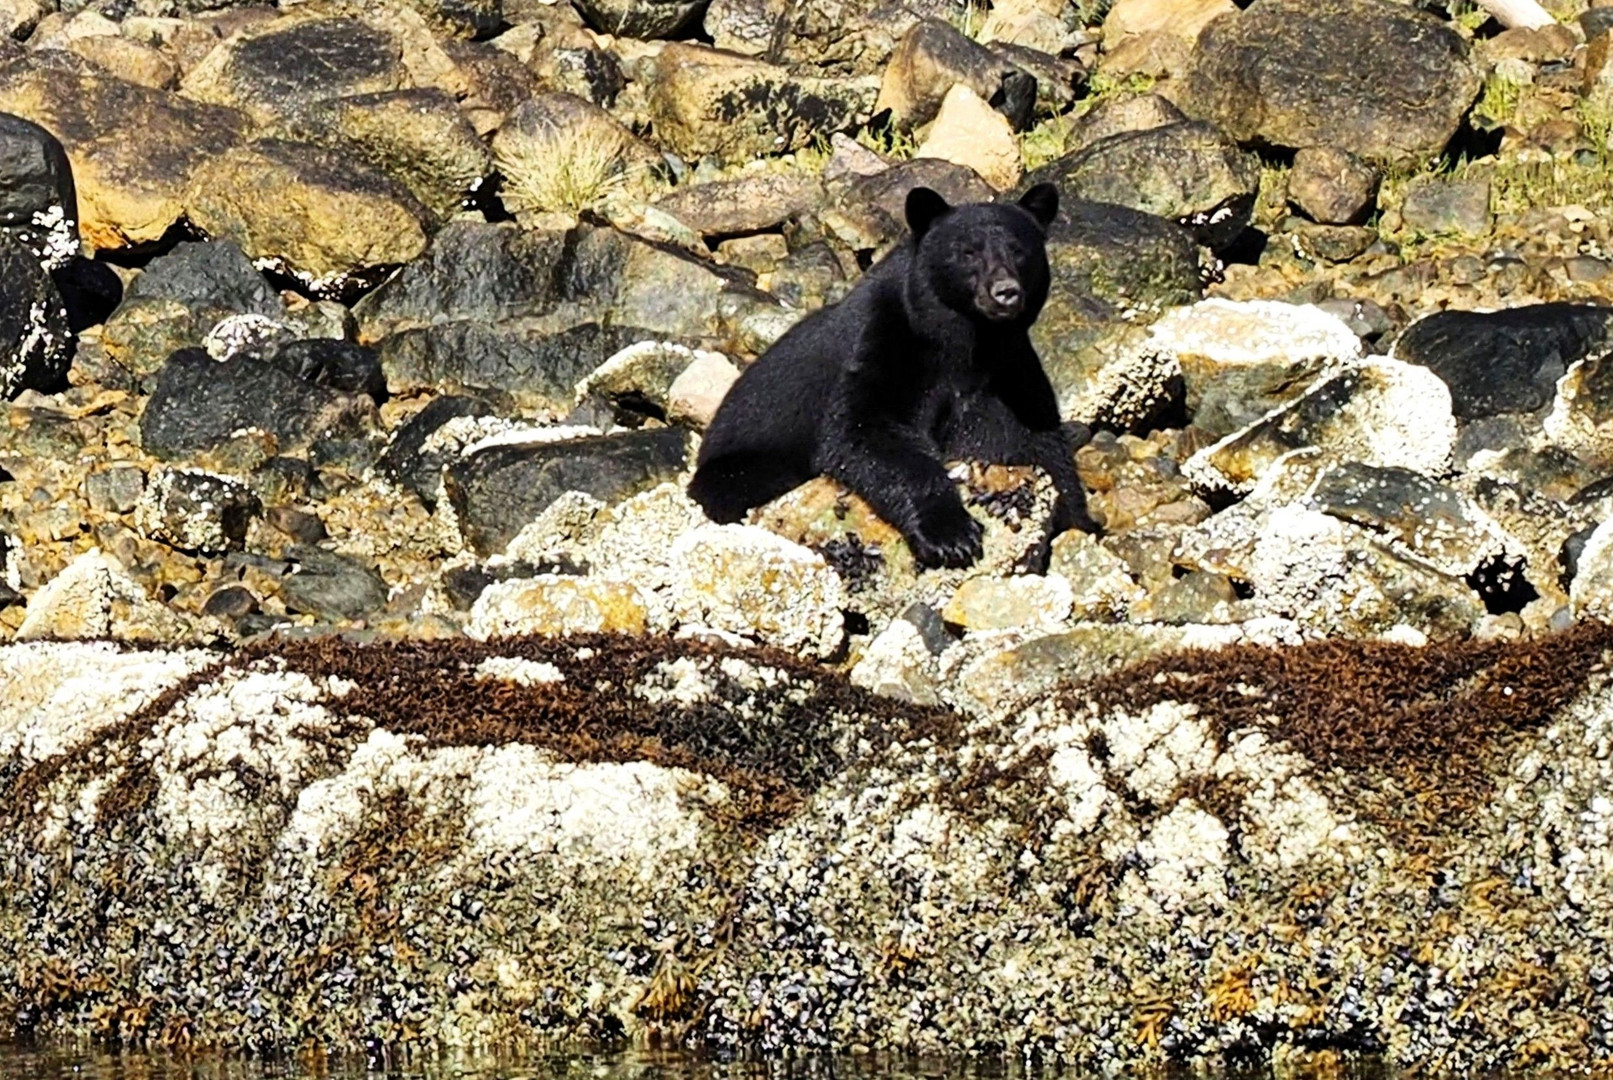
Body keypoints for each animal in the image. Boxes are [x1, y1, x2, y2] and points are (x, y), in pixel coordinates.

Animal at [680, 183, 1096, 573]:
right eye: (968, 252)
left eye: (1019, 250)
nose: (1005, 292)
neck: (966, 341)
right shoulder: (886, 342)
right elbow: (866, 430)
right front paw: (951, 535)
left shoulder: (1009, 370)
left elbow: (1035, 440)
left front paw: (1076, 519)